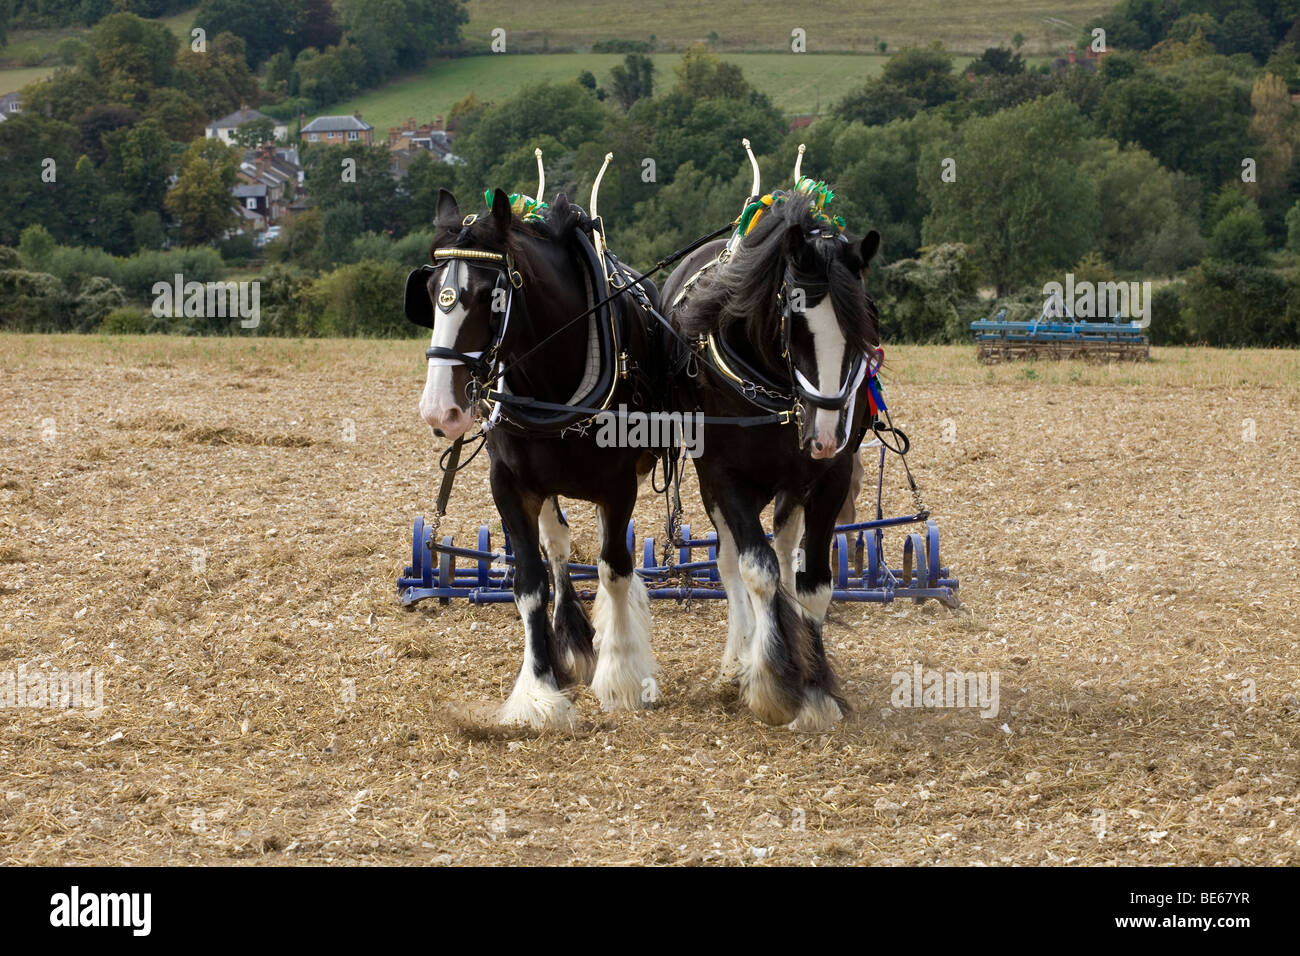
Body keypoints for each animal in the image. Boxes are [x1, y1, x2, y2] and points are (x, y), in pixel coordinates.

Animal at [408, 186, 664, 730]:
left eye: (491, 295)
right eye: (432, 290)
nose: (441, 409)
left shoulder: (619, 485)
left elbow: (615, 568)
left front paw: (621, 677)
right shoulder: (510, 483)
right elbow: (530, 580)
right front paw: (540, 689)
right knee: (559, 547)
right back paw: (572, 639)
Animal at [660, 181, 881, 731]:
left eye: (864, 322)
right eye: (795, 321)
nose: (824, 435)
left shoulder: (829, 478)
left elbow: (812, 582)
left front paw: (816, 687)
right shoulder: (725, 477)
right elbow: (755, 569)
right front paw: (770, 683)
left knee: (783, 549)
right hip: (712, 484)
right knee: (732, 562)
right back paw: (739, 660)